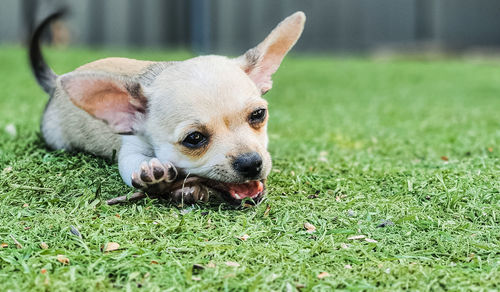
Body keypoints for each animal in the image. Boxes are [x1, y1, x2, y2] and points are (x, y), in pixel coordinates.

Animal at [29, 10, 306, 204]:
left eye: (258, 115)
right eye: (194, 139)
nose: (250, 162)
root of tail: (55, 83)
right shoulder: (130, 149)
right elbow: (136, 163)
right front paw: (154, 171)